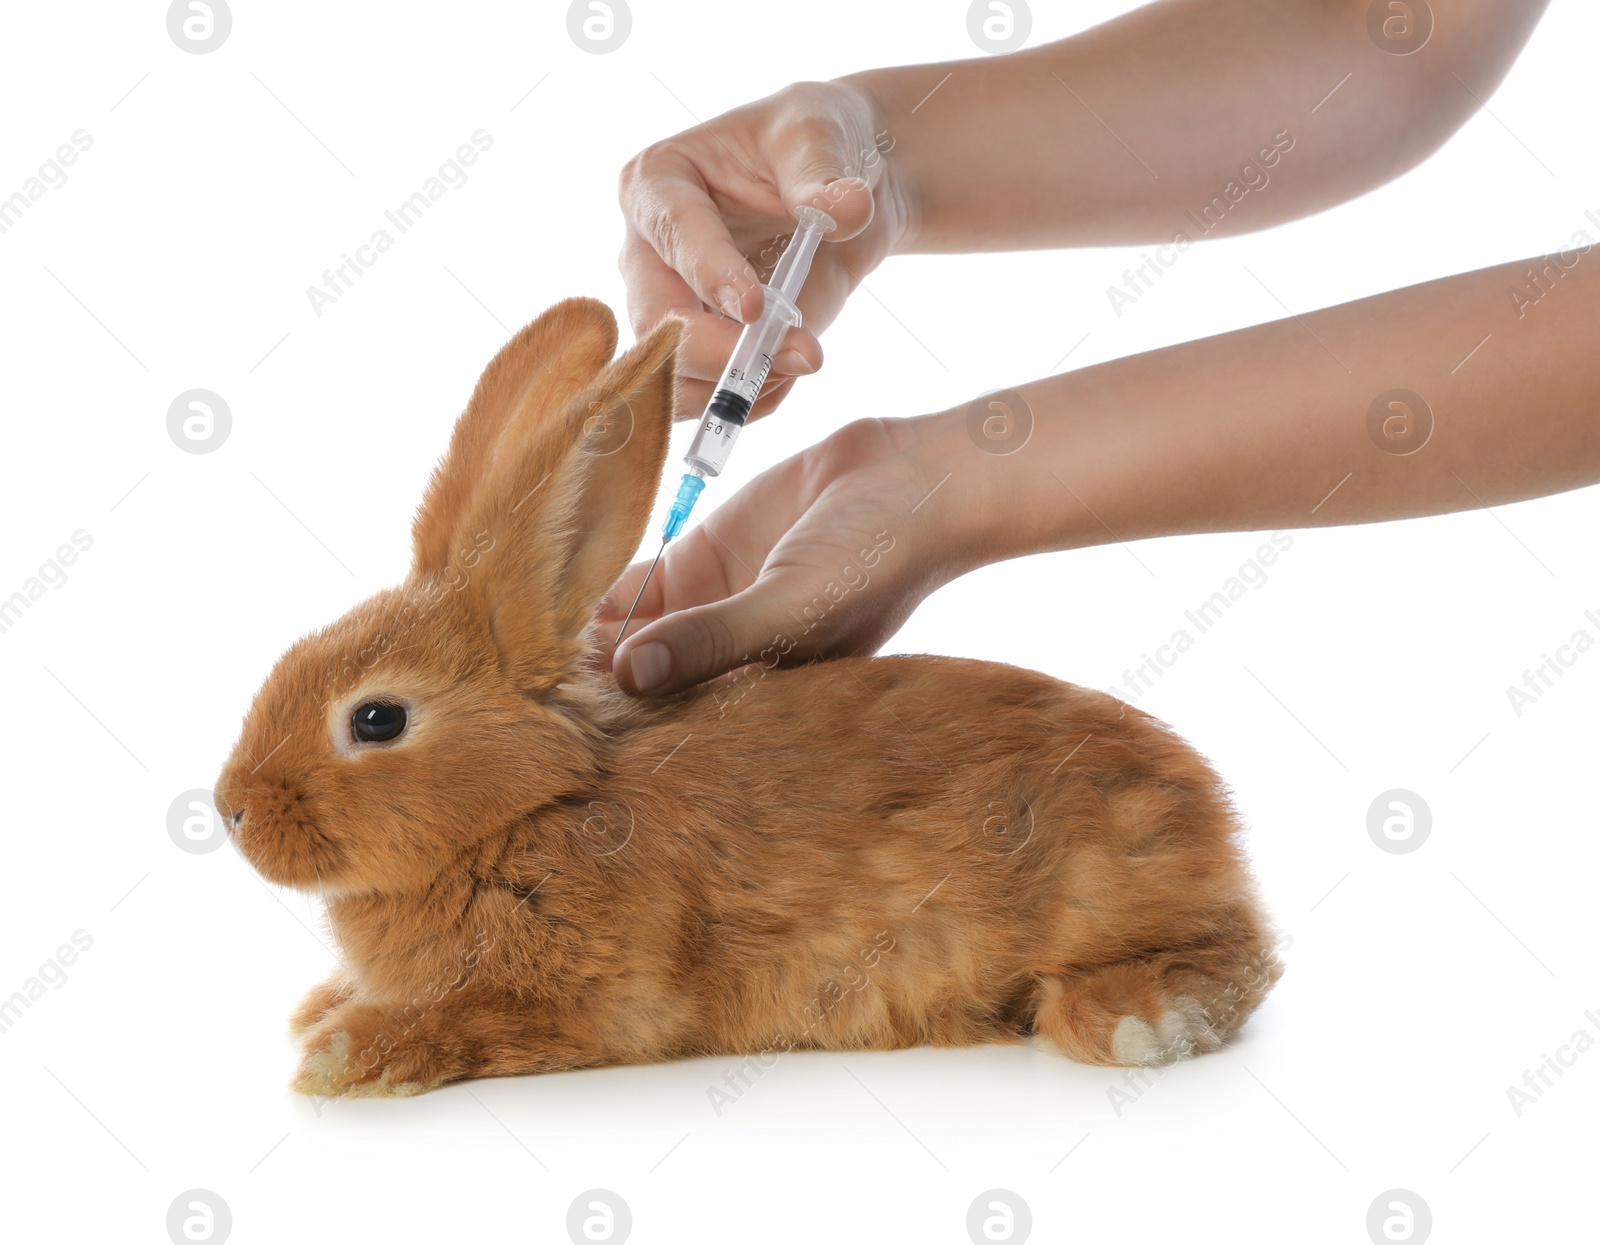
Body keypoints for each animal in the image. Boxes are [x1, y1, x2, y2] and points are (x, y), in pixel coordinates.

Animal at [216, 300, 1286, 1094]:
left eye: (376, 719)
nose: (230, 811)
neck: (529, 805)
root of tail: (1208, 809)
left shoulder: (591, 998)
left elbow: (478, 1021)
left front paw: (347, 1053)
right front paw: (322, 1007)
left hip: (1112, 884)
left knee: (1239, 959)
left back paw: (1135, 1018)